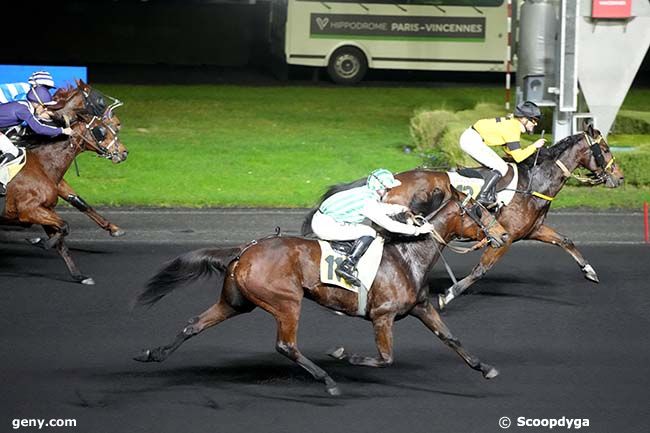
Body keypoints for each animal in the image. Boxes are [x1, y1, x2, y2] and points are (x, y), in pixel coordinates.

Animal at [1, 112, 128, 284]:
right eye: (101, 131)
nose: (124, 152)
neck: (42, 165)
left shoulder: (45, 208)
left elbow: (64, 234)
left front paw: (79, 276)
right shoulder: (29, 210)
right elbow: (65, 226)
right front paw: (41, 242)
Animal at [133, 192, 506, 394]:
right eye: (480, 211)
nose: (503, 235)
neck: (407, 256)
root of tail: (245, 250)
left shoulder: (422, 306)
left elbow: (451, 338)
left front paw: (485, 367)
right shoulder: (382, 316)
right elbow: (385, 358)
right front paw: (343, 355)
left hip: (236, 302)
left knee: (194, 324)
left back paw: (153, 354)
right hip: (286, 301)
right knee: (286, 345)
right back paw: (328, 380)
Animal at [306, 123, 624, 308]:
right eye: (605, 148)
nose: (619, 177)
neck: (533, 182)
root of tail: (390, 180)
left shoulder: (531, 230)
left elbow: (566, 240)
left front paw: (589, 270)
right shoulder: (505, 237)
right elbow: (480, 270)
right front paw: (448, 294)